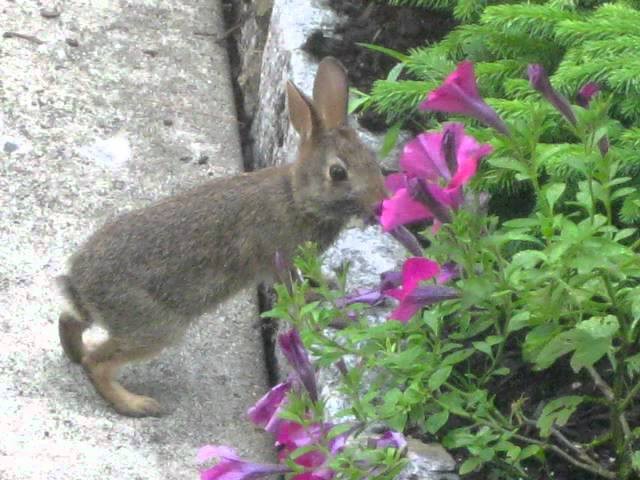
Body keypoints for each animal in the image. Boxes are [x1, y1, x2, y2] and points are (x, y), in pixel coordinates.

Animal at [57, 55, 384, 416]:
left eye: (373, 160)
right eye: (338, 173)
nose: (380, 201)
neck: (297, 198)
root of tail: (79, 285)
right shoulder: (278, 261)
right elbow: (293, 298)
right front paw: (330, 312)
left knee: (70, 322)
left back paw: (75, 353)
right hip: (153, 326)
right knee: (97, 363)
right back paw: (136, 404)